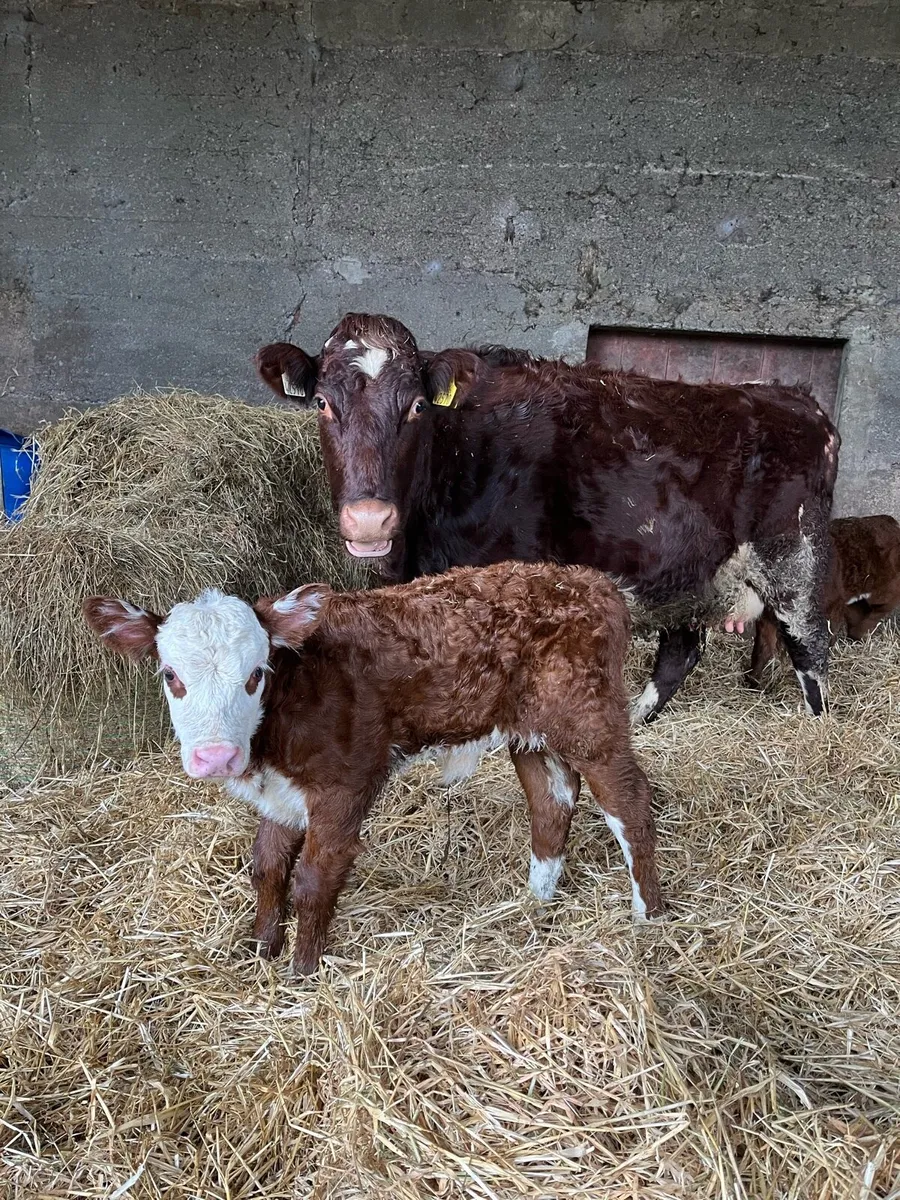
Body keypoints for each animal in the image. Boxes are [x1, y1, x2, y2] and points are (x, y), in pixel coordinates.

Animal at [83, 561, 663, 975]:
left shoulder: (345, 784)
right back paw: (535, 902)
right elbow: (267, 865)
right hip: (530, 732)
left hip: (589, 720)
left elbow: (314, 879)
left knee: (630, 803)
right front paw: (260, 948)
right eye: (170, 675)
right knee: (552, 800)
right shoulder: (283, 793)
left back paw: (647, 917)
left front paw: (302, 972)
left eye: (256, 674)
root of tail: (597, 583)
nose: (215, 757)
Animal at [255, 313, 840, 726]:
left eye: (418, 406)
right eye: (323, 403)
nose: (370, 519)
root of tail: (796, 399)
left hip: (793, 556)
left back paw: (818, 730)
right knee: (681, 651)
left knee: (809, 647)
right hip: (689, 574)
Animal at [748, 514, 900, 687]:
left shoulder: (832, 605)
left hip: (885, 590)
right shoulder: (767, 618)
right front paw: (752, 683)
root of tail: (892, 522)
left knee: (879, 609)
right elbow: (762, 649)